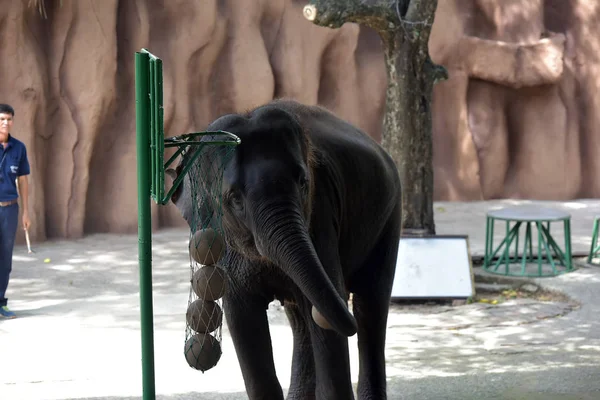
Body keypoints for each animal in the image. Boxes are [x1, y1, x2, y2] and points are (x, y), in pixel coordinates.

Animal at [169, 98, 404, 398]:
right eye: (234, 198)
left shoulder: (319, 213)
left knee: (370, 305)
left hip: (389, 216)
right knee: (302, 321)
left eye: (303, 183)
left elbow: (327, 328)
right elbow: (243, 320)